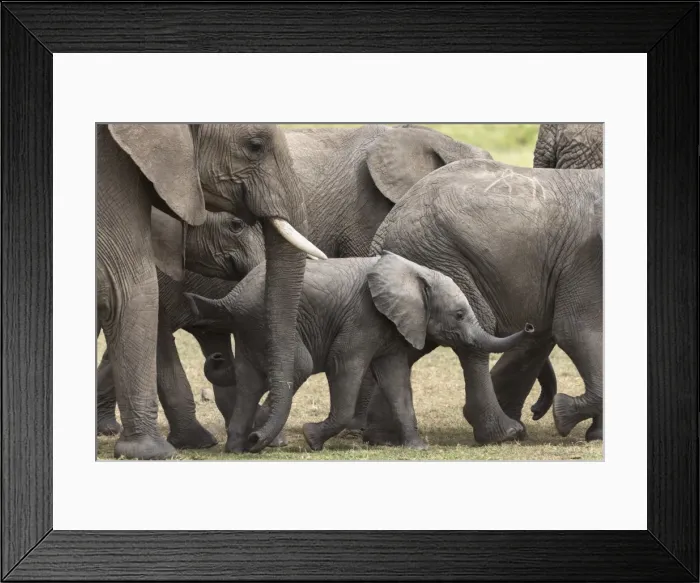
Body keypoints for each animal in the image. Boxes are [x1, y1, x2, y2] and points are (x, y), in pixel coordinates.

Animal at [185, 252, 535, 453]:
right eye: (460, 315)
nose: (530, 326)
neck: (415, 272)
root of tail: (232, 297)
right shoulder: (362, 318)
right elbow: (344, 365)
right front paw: (312, 439)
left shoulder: (390, 327)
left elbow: (397, 379)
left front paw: (417, 448)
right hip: (265, 323)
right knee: (298, 366)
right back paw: (263, 440)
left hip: (250, 329)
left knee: (249, 381)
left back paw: (239, 447)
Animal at [368, 159, 603, 444]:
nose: (537, 411)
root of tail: (385, 227)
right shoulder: (584, 257)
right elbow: (576, 330)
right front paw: (564, 414)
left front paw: (597, 434)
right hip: (439, 255)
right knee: (474, 336)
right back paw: (504, 433)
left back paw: (381, 437)